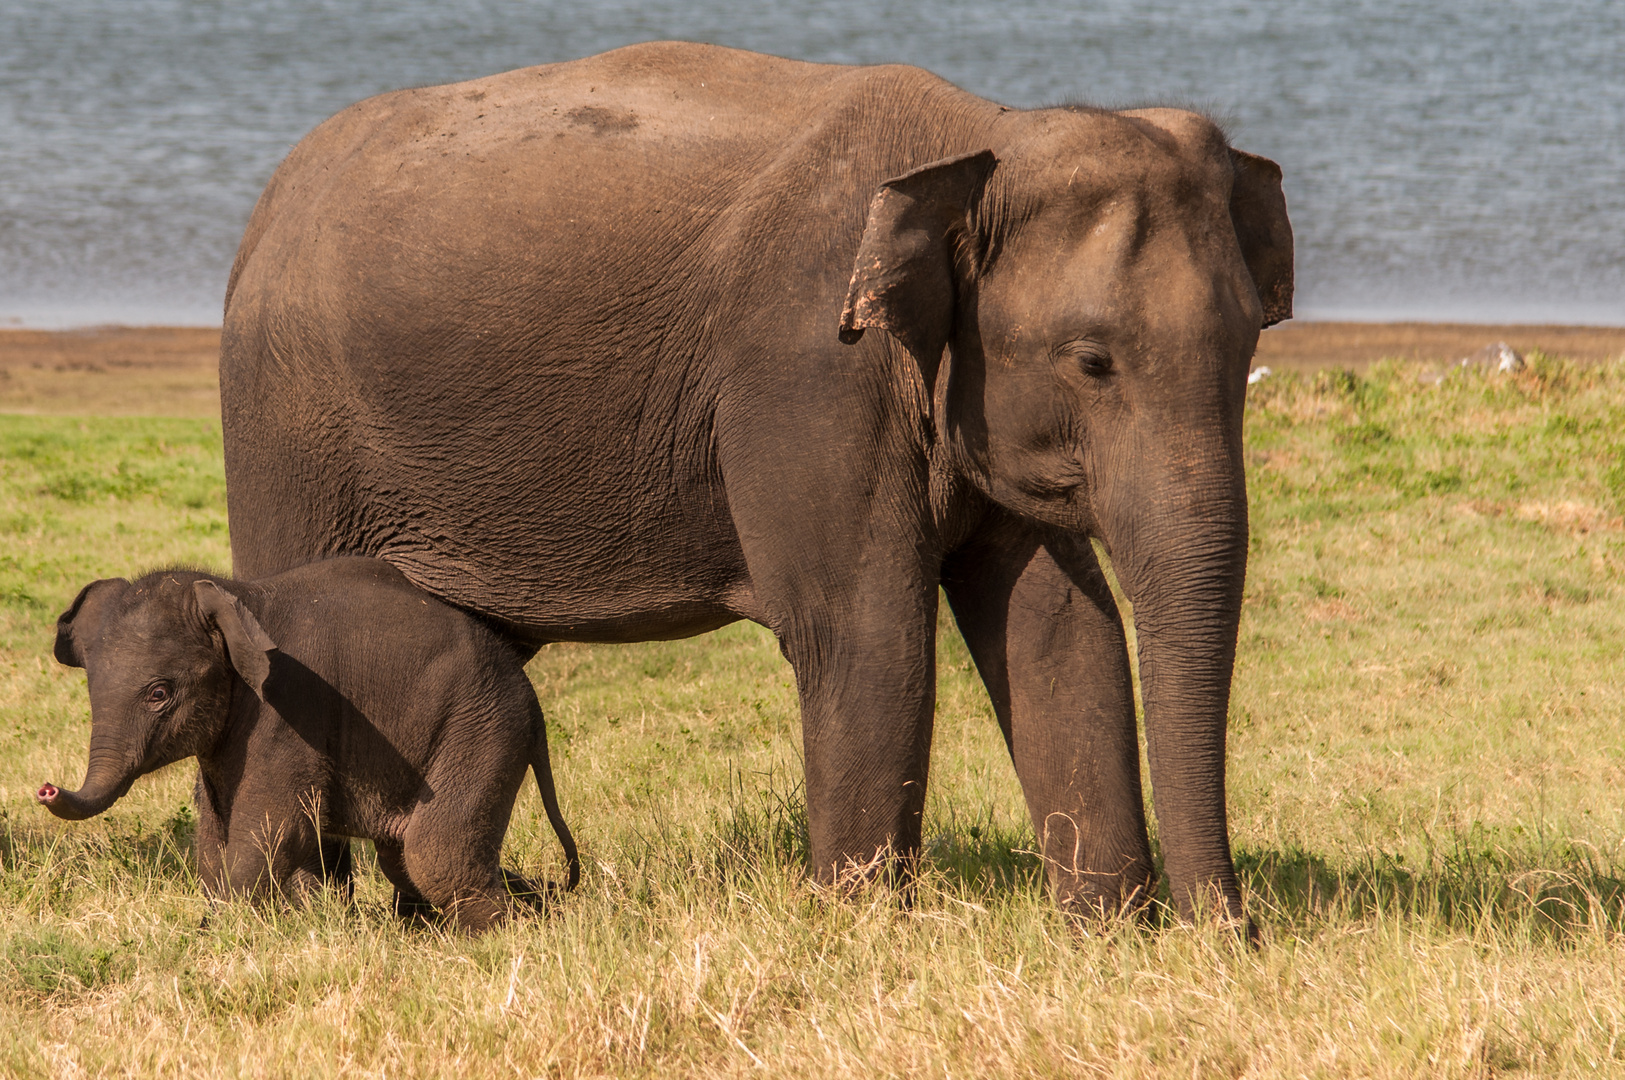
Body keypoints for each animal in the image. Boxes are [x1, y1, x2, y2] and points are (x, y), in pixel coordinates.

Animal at [36, 555, 585, 928]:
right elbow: (215, 831)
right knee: (404, 858)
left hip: (482, 730)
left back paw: (504, 934)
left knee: (436, 859)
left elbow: (270, 831)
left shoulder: (290, 709)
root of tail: (533, 703)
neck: (236, 597)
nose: (45, 788)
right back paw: (537, 905)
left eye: (159, 694)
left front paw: (219, 933)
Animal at [219, 39, 1293, 915]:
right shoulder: (806, 367)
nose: (1228, 931)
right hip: (288, 429)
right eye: (1092, 361)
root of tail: (265, 207)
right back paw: (312, 916)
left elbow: (1060, 627)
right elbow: (864, 628)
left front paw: (1106, 929)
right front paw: (863, 930)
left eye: (1251, 340)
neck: (983, 134)